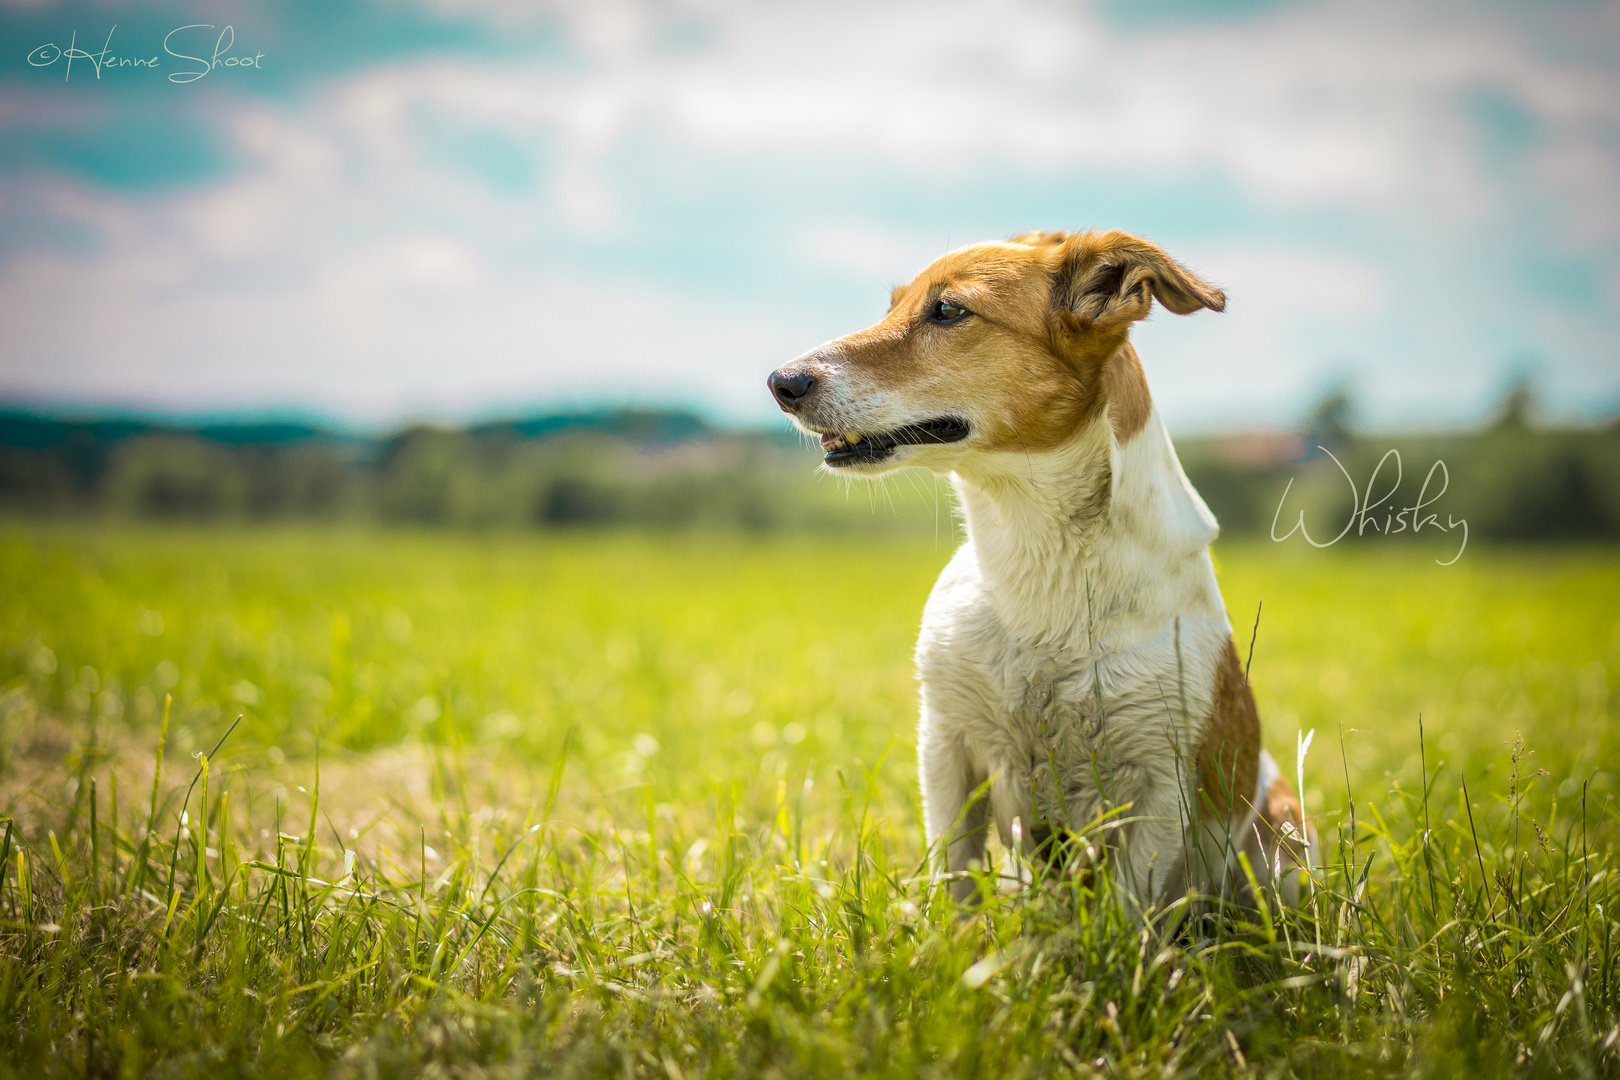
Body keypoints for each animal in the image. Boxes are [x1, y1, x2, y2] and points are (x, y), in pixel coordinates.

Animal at [764, 229, 1308, 913]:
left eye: (948, 311)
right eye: (892, 305)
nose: (780, 380)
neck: (1034, 558)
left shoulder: (1162, 784)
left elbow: (1127, 909)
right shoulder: (945, 749)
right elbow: (955, 880)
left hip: (1282, 845)